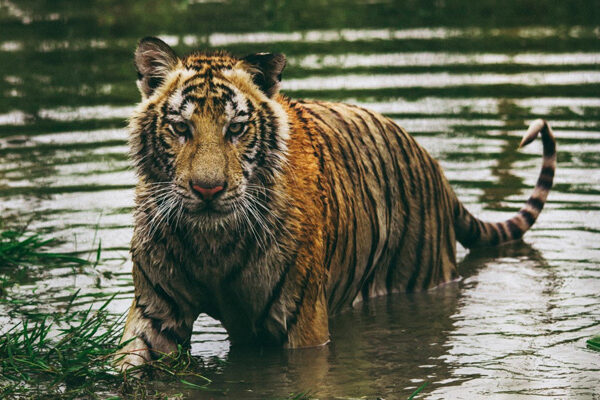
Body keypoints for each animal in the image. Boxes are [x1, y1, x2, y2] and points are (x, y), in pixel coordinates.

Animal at [117, 36, 556, 370]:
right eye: (181, 127)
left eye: (237, 129)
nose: (208, 190)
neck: (212, 244)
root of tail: (435, 167)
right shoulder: (156, 312)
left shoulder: (301, 322)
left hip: (421, 278)